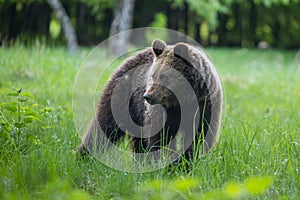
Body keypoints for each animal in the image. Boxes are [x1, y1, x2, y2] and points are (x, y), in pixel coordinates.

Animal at [77, 39, 223, 161]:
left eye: (164, 77)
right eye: (153, 76)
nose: (147, 96)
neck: (185, 101)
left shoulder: (205, 106)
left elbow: (200, 135)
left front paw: (186, 161)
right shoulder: (163, 112)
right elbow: (160, 136)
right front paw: (167, 162)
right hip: (123, 98)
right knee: (105, 126)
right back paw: (83, 156)